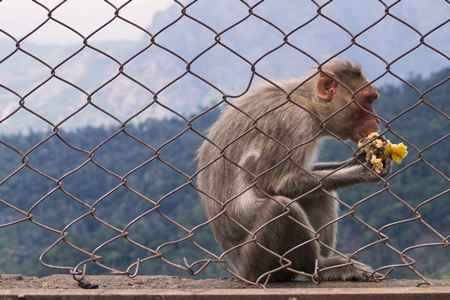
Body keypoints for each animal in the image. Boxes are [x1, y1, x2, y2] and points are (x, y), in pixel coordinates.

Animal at [196, 57, 390, 282]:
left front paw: (361, 160)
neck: (307, 102)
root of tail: (239, 271)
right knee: (281, 206)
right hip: (255, 259)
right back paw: (320, 267)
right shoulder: (295, 122)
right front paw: (365, 171)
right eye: (367, 100)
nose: (377, 119)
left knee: (320, 194)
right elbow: (279, 184)